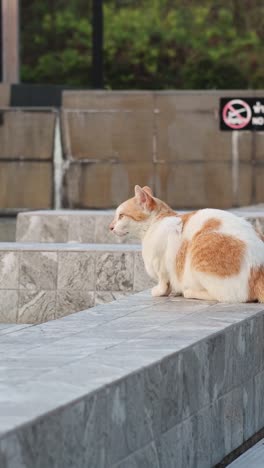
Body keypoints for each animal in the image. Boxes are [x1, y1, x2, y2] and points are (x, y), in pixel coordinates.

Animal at [109, 186, 264, 304]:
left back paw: (190, 292)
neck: (156, 223)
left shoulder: (161, 264)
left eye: (121, 216)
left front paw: (160, 291)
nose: (110, 227)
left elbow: (163, 282)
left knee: (224, 297)